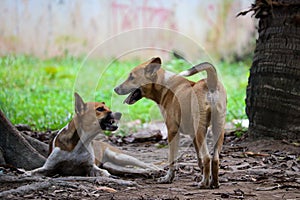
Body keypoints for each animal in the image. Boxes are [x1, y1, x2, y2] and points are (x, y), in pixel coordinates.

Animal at [29, 92, 158, 177]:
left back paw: (154, 169)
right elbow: (35, 172)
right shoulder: (49, 167)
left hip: (120, 156)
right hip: (112, 164)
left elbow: (103, 173)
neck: (82, 141)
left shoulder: (91, 167)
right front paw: (26, 173)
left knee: (143, 164)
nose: (120, 113)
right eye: (100, 109)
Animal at [113, 57, 226, 188]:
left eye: (131, 77)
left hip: (200, 129)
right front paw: (201, 174)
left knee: (207, 157)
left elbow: (172, 159)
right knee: (215, 159)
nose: (115, 89)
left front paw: (168, 178)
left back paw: (204, 183)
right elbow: (199, 159)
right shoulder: (192, 136)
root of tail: (210, 83)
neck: (164, 84)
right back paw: (214, 183)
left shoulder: (172, 131)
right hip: (218, 129)